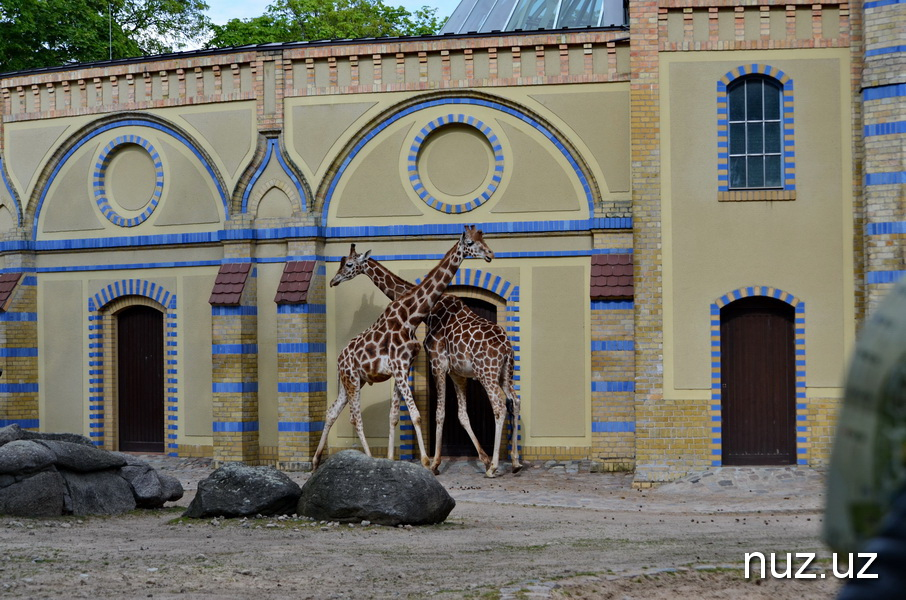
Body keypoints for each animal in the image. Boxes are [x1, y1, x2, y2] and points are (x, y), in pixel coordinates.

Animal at [328, 244, 520, 478]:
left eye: (348, 264)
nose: (334, 280)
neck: (429, 311)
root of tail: (506, 347)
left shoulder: (437, 362)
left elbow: (439, 412)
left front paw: (435, 463)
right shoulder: (455, 371)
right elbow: (461, 414)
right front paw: (481, 459)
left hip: (487, 373)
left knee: (499, 406)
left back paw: (494, 466)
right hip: (505, 373)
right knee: (515, 402)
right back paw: (515, 462)